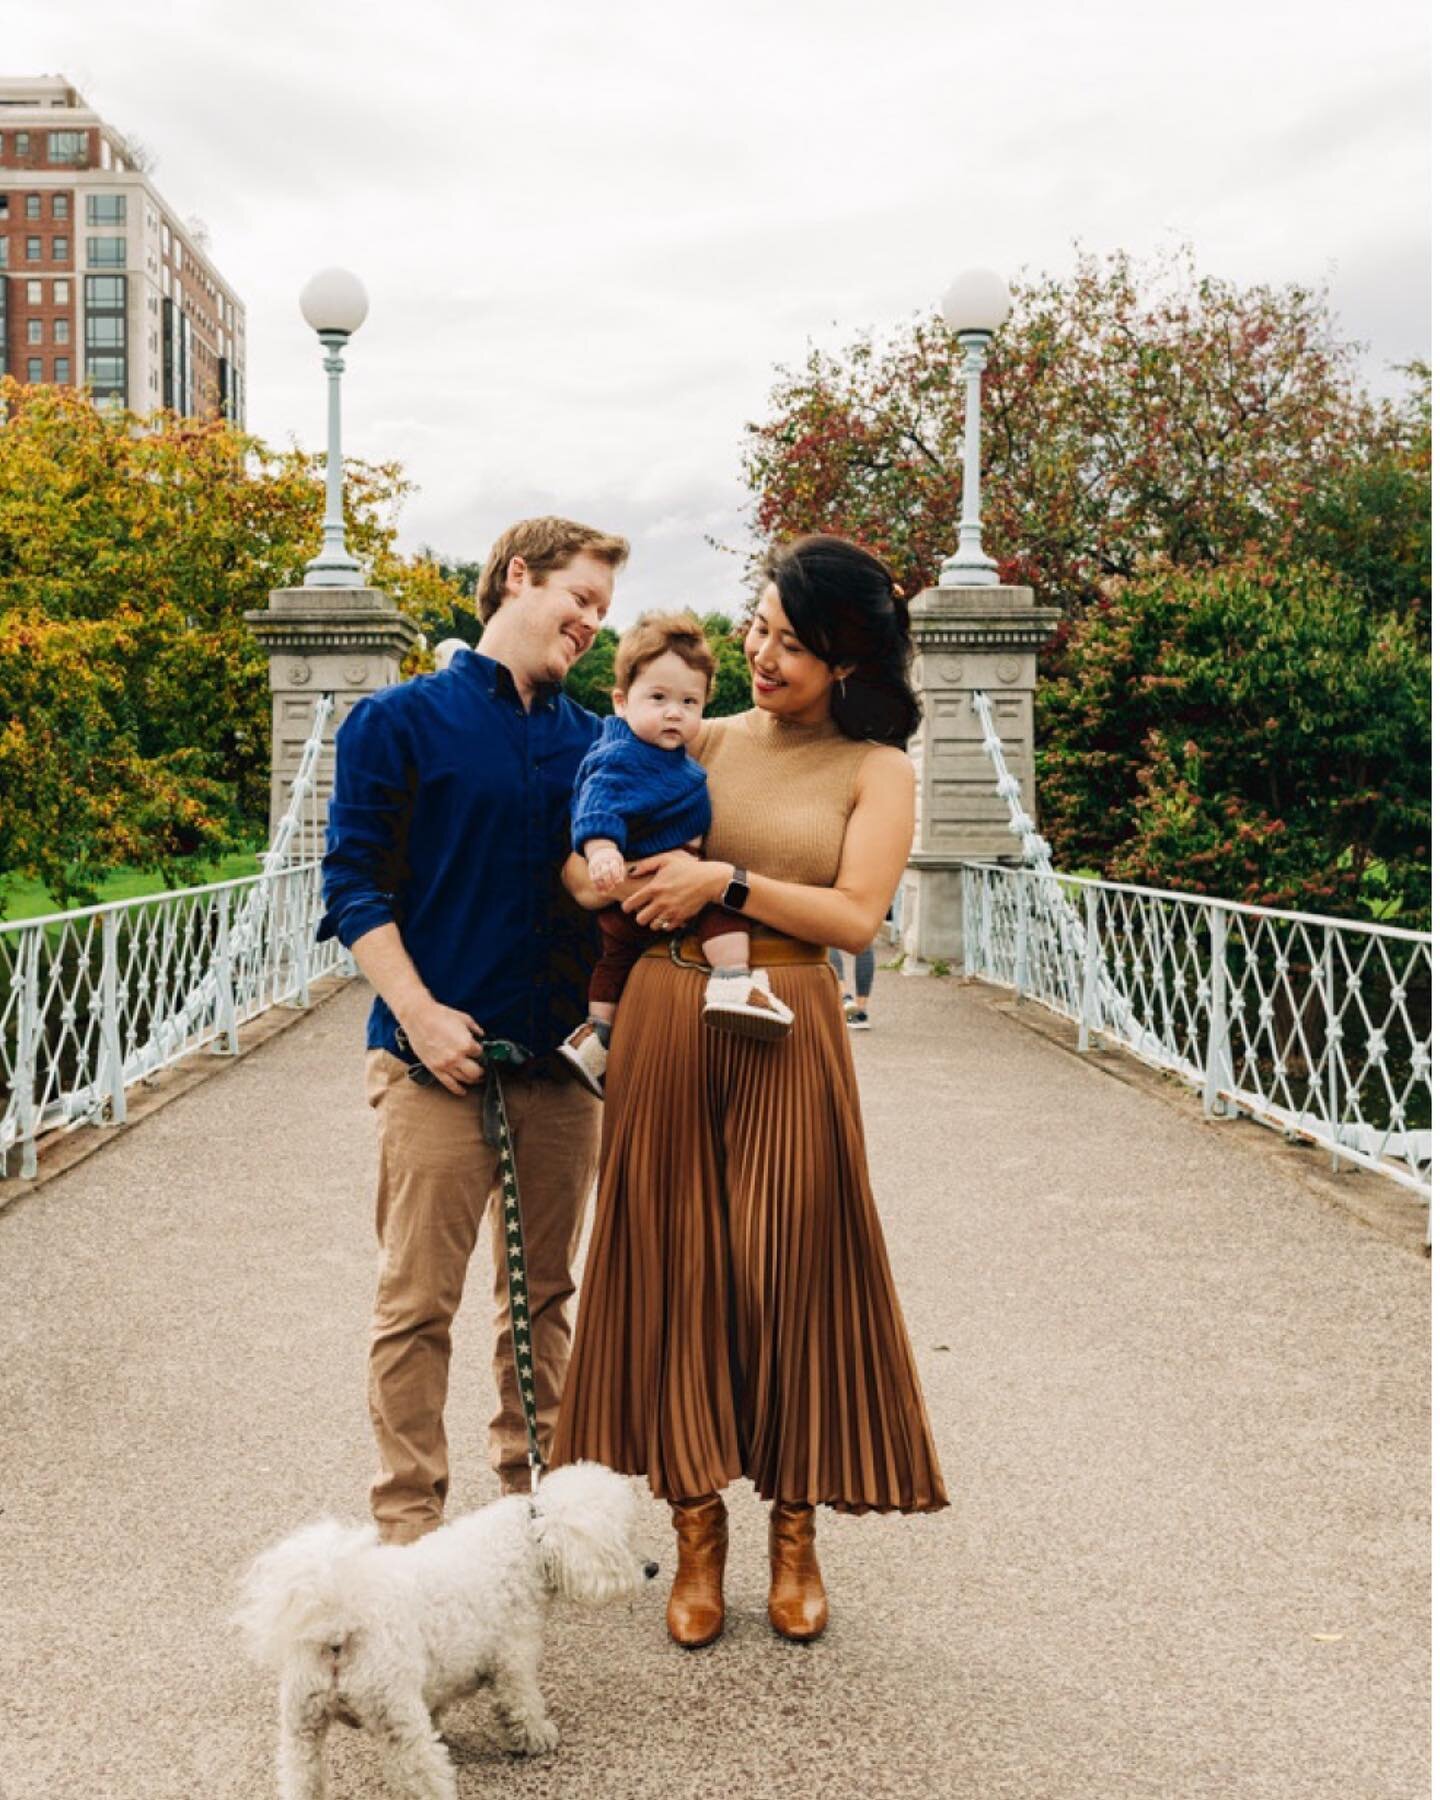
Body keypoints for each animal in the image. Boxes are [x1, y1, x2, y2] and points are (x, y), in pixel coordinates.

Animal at [237, 1461, 658, 1800]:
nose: (652, 1568)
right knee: (422, 1774)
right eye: (625, 1536)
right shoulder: (514, 1660)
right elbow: (523, 1704)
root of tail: (338, 1621)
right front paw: (538, 1737)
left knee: (300, 1776)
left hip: (301, 1728)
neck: (528, 1537)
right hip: (398, 1720)